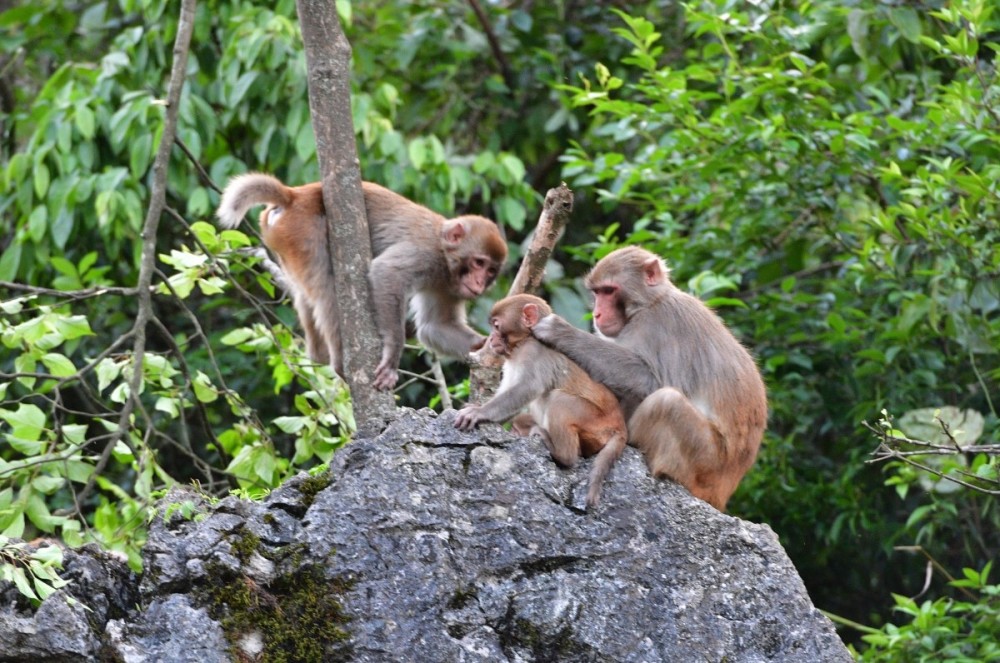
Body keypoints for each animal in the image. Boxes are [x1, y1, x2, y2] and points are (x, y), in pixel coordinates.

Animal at [214, 174, 504, 392]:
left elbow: (435, 327)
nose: (480, 283)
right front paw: (391, 356)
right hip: (303, 231)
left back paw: (318, 354)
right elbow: (387, 273)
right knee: (328, 290)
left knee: (307, 294)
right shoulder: (426, 254)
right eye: (478, 263)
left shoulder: (447, 286)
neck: (445, 257)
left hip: (285, 243)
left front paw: (487, 344)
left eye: (491, 270)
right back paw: (339, 360)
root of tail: (294, 195)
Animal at [454, 294, 624, 506]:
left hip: (595, 422)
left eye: (496, 325)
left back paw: (563, 455)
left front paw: (478, 412)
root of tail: (621, 426)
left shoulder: (534, 351)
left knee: (558, 400)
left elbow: (528, 387)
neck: (524, 340)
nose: (491, 338)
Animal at [532, 246, 764, 510]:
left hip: (705, 462)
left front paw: (560, 331)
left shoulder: (663, 324)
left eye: (609, 291)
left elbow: (654, 383)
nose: (597, 314)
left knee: (667, 401)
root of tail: (723, 492)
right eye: (597, 292)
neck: (649, 303)